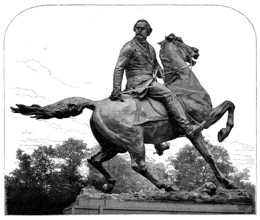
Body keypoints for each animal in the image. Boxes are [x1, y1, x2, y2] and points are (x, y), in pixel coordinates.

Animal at [11, 33, 237, 192]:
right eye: (181, 40)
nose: (196, 50)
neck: (184, 84)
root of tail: (96, 104)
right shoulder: (203, 122)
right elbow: (226, 113)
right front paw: (223, 138)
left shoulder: (199, 127)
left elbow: (225, 115)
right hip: (133, 141)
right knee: (138, 165)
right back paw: (167, 186)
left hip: (113, 145)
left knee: (94, 160)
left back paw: (110, 184)